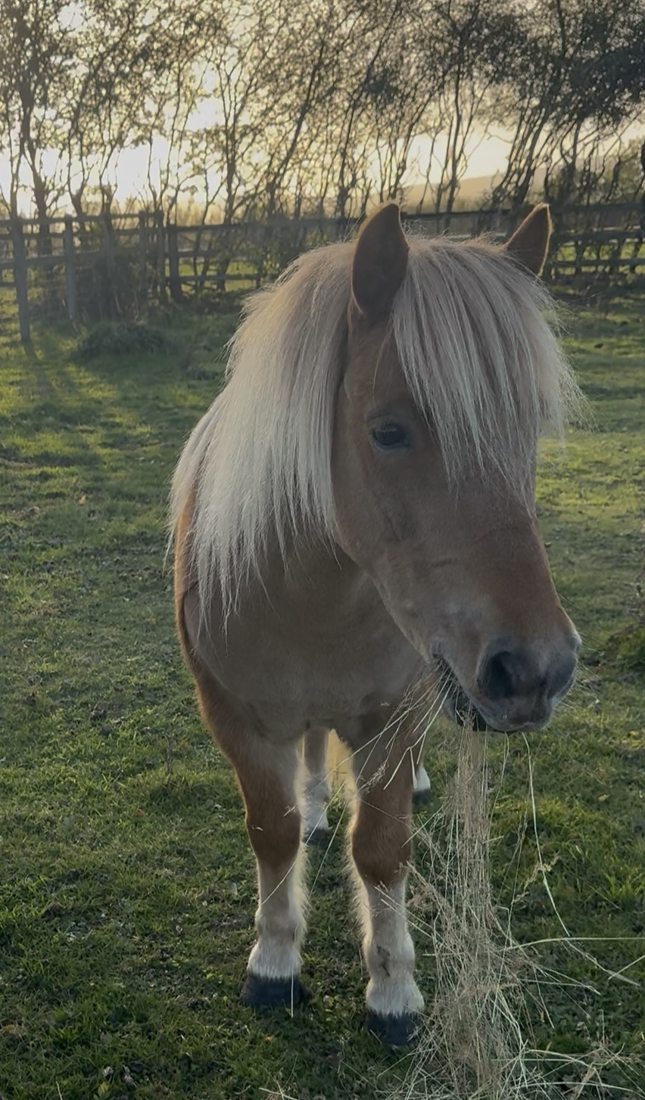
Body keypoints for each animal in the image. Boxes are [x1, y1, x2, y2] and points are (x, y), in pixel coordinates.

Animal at [170, 203, 580, 1046]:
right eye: (387, 430)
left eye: (528, 428)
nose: (536, 671)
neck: (311, 598)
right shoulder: (236, 718)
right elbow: (271, 828)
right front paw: (274, 961)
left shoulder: (392, 718)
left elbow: (383, 850)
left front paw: (393, 990)